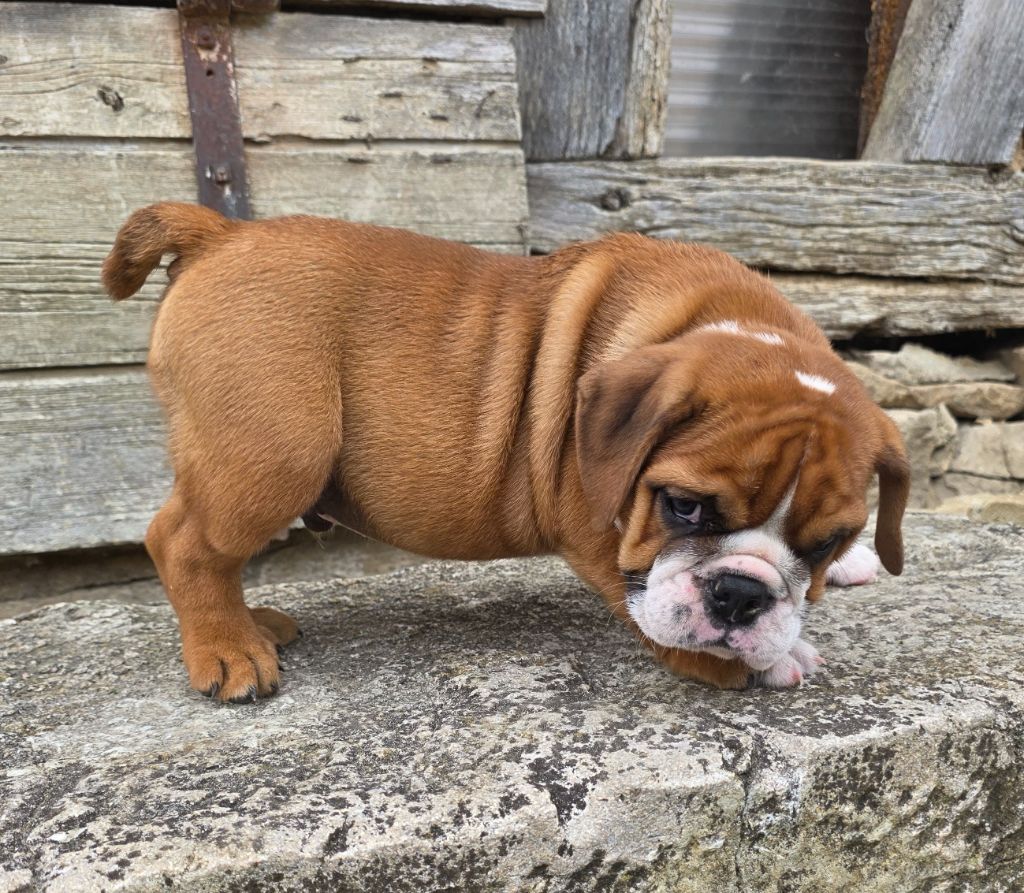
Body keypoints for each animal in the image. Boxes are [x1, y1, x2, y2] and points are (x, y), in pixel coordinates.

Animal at [102, 203, 909, 702]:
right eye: (682, 506)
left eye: (827, 539)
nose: (740, 596)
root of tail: (219, 232)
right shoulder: (598, 528)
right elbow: (652, 604)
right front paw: (764, 659)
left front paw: (847, 573)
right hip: (275, 455)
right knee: (183, 541)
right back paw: (228, 650)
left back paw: (251, 624)